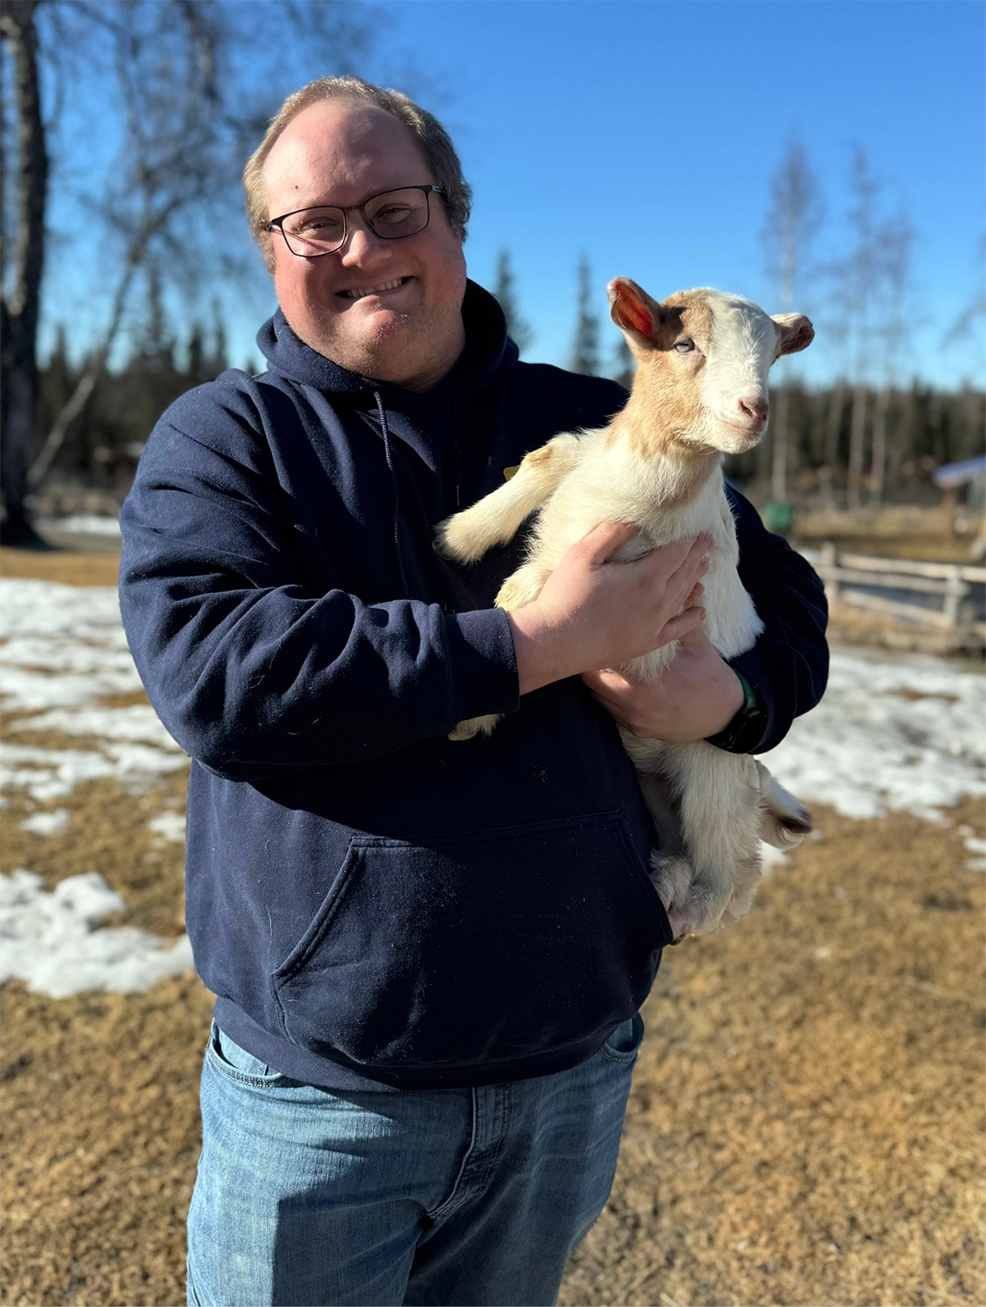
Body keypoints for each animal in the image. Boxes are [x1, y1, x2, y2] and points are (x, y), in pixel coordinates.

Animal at [434, 278, 815, 941]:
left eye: (772, 359)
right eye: (685, 343)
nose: (753, 411)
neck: (645, 467)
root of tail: (761, 781)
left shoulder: (620, 569)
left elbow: (530, 589)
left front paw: (472, 714)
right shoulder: (581, 464)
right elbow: (547, 458)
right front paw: (461, 535)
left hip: (713, 774)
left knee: (731, 870)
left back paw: (686, 909)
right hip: (657, 787)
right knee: (692, 851)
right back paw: (664, 881)